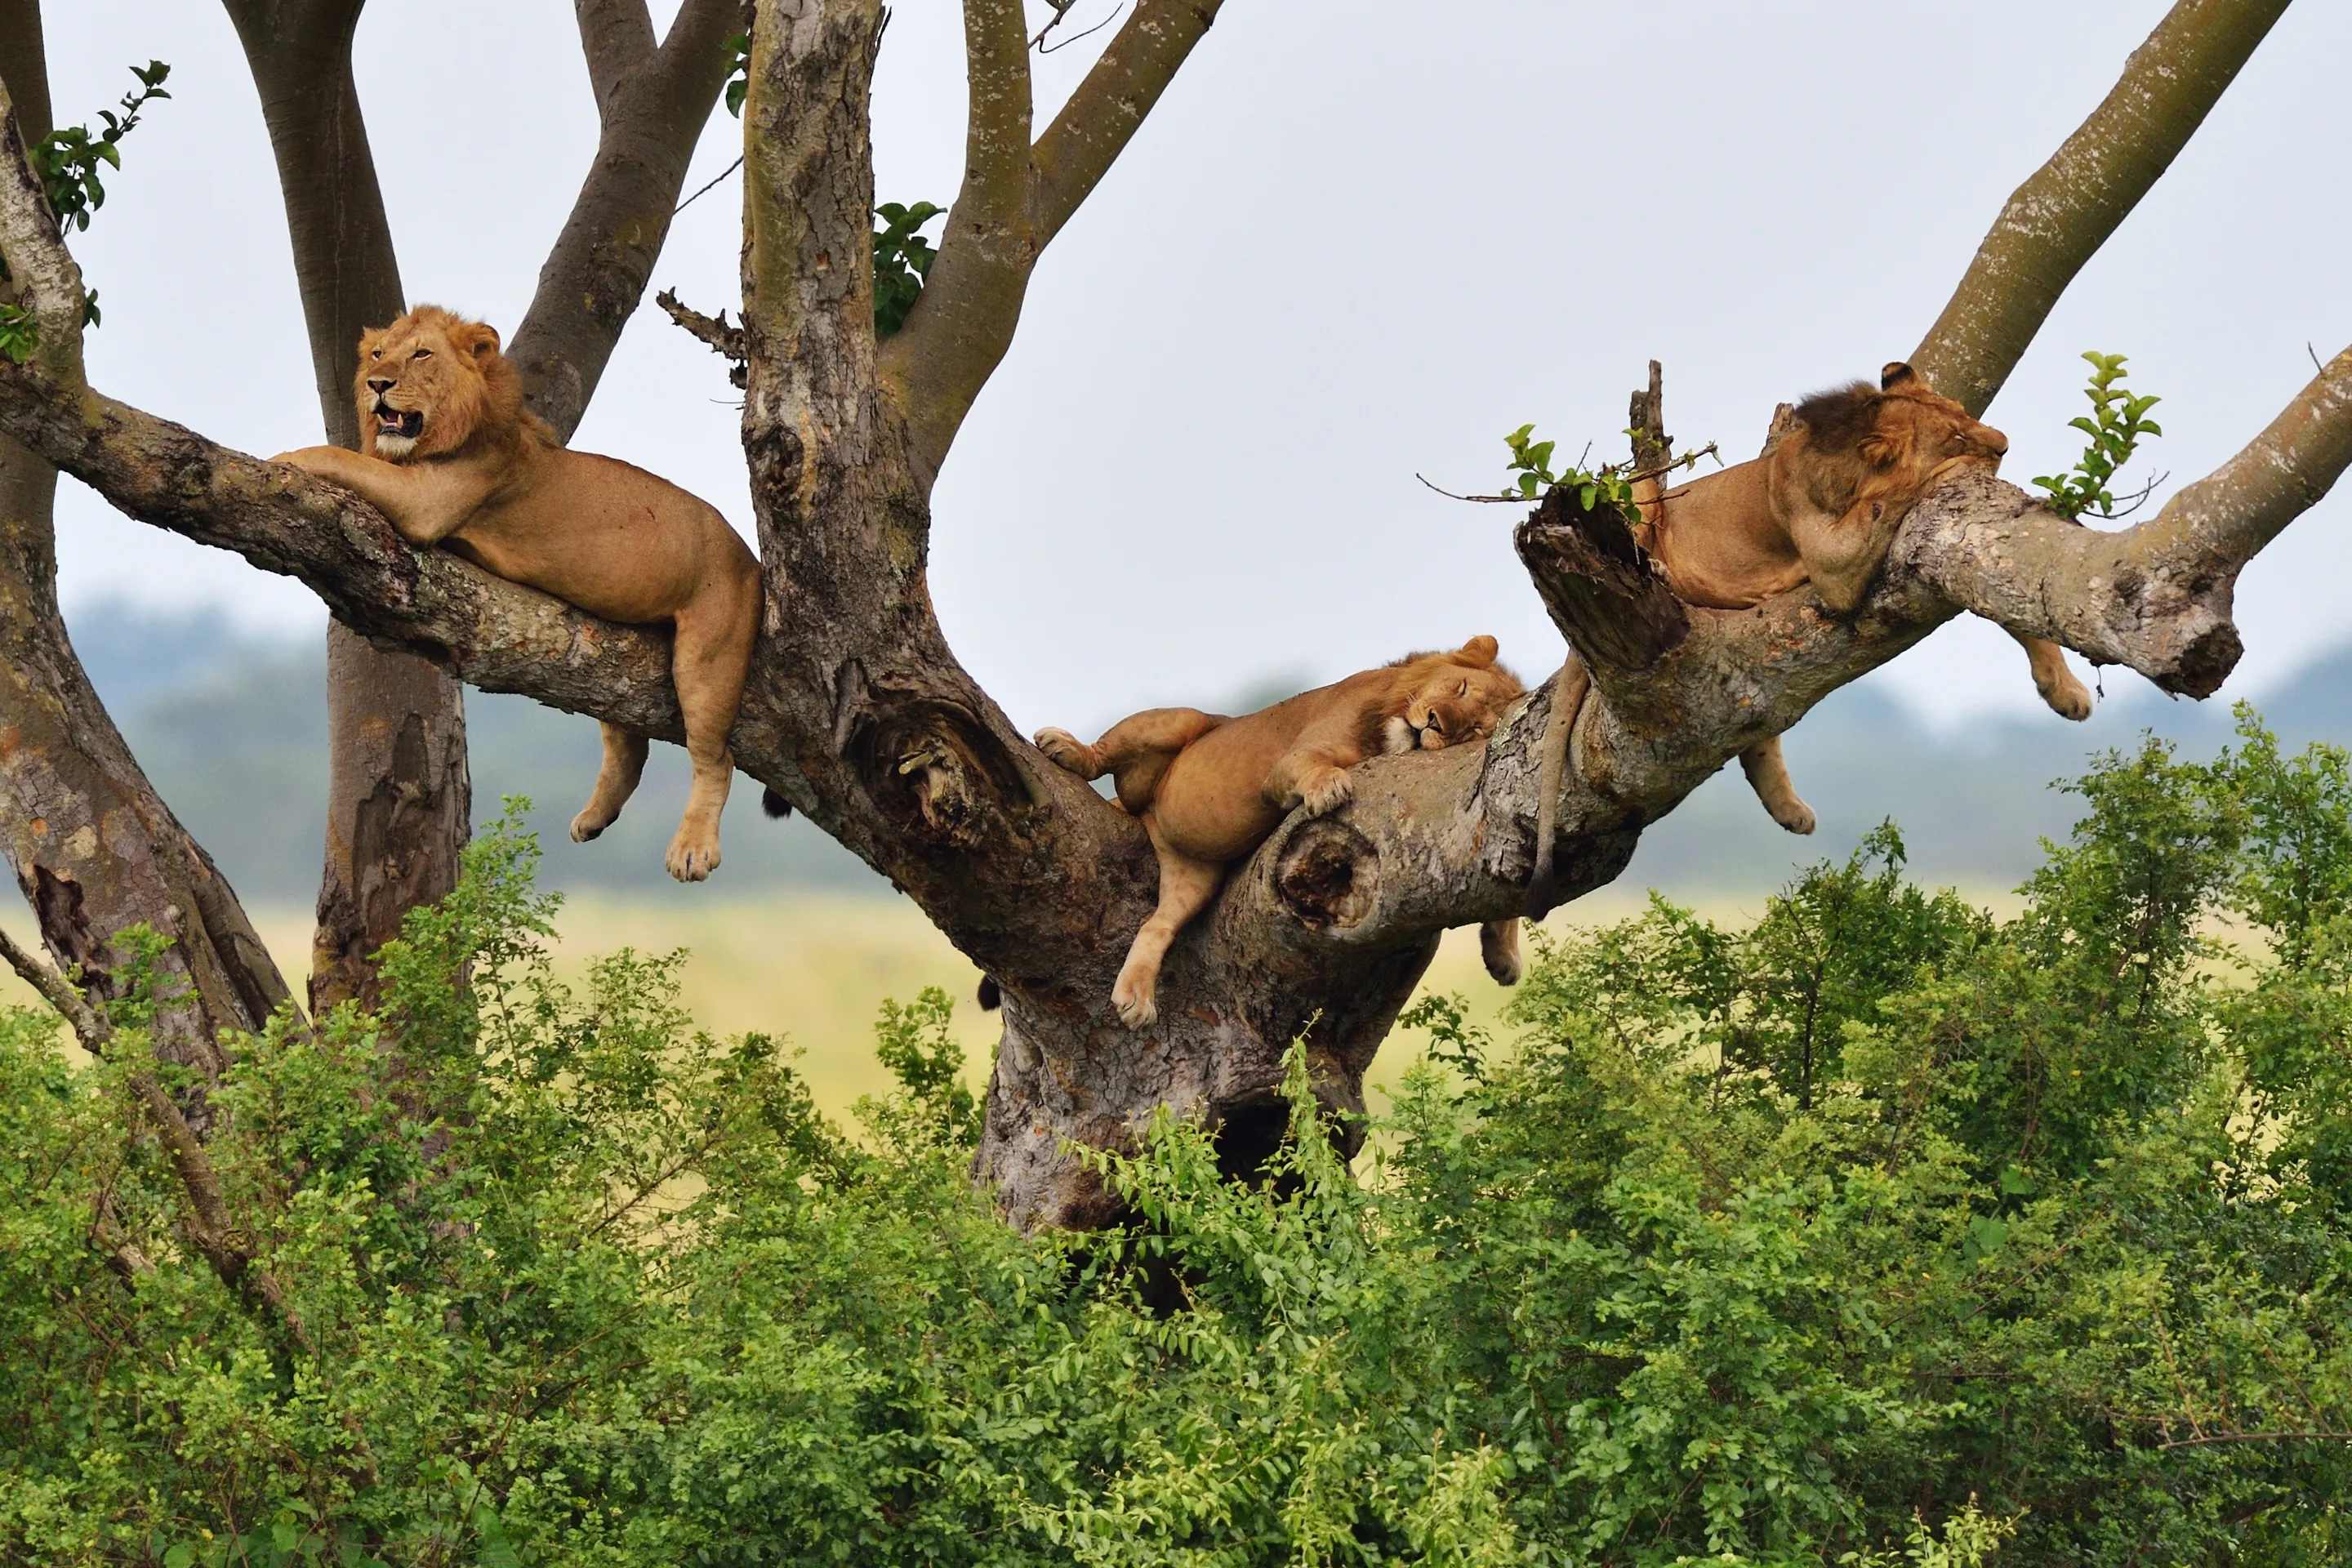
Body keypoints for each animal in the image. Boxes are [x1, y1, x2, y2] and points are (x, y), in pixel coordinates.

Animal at [270, 305, 761, 882]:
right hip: (620, 655)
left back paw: (691, 848)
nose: (378, 385)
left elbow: (345, 457)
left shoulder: (426, 500)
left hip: (709, 655)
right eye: (377, 354)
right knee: (628, 744)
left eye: (421, 354)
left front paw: (285, 455)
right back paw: (594, 818)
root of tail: (751, 558)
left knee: (714, 757)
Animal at [1037, 637, 1527, 1029]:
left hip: (1194, 873)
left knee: (1157, 924)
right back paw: (1067, 749)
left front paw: (1504, 954)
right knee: (1106, 752)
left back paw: (1136, 999)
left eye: (1475, 728)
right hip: (1179, 723)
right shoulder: (1289, 763)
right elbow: (1312, 765)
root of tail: (1149, 815)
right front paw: (1329, 786)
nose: (1434, 722)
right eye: (1459, 687)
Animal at [1523, 363, 2092, 917]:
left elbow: (2013, 613)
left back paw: (1792, 812)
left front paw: (2065, 692)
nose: (2003, 445)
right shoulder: (1832, 564)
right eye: (1954, 435)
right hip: (1643, 519)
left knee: (1756, 734)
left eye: (1964, 413)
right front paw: (1949, 472)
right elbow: (1891, 498)